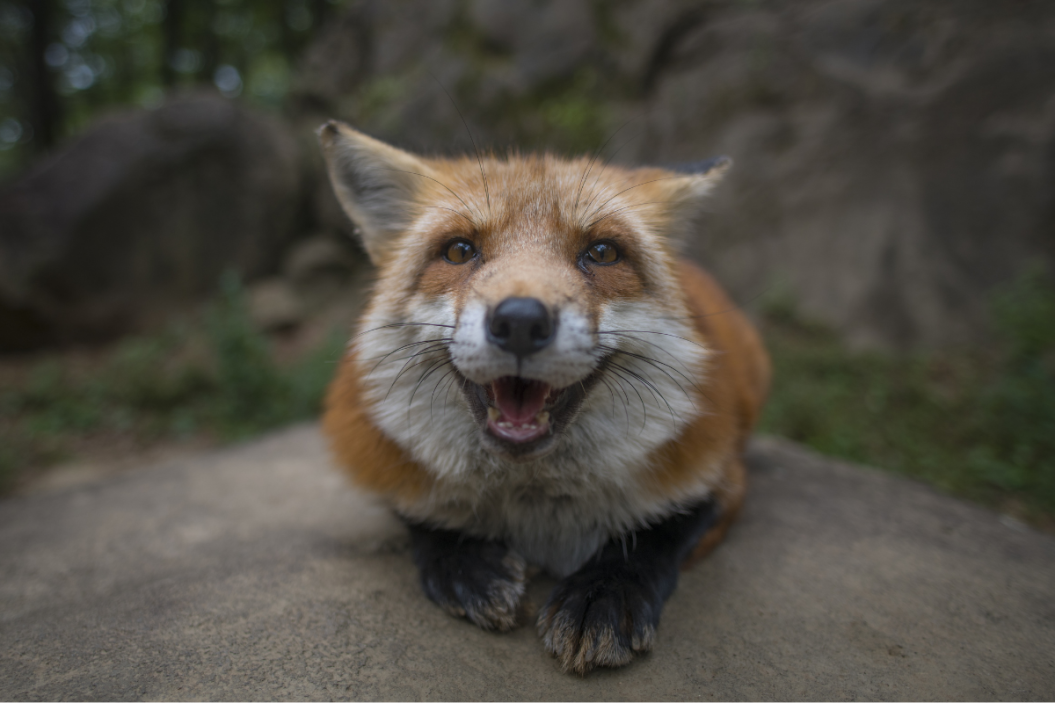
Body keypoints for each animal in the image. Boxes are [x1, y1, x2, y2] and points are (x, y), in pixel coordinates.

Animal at [317, 120, 770, 675]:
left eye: (602, 252)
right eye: (459, 250)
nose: (519, 321)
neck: (536, 508)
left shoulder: (720, 477)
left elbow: (655, 535)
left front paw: (603, 592)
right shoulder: (386, 465)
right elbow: (419, 518)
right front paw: (466, 563)